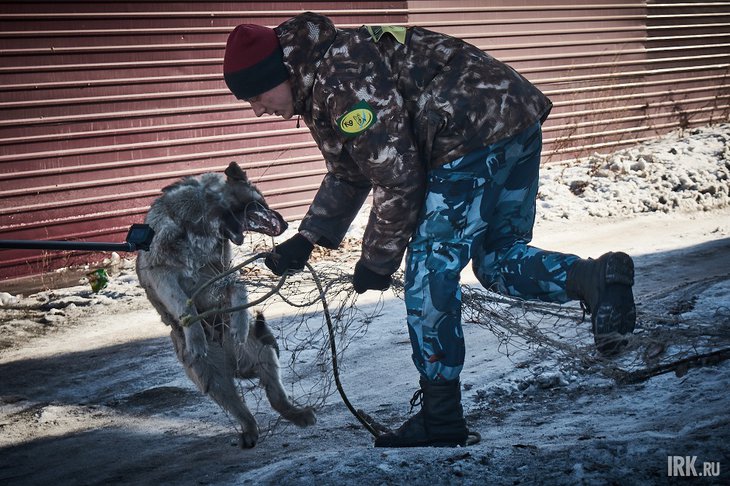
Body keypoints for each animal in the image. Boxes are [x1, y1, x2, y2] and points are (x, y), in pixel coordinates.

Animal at [136, 162, 316, 448]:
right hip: (214, 381)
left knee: (275, 397)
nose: (288, 222)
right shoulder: (164, 276)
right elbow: (185, 305)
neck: (197, 225)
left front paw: (239, 325)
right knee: (241, 409)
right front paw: (196, 336)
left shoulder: (223, 274)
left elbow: (239, 290)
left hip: (263, 354)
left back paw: (296, 414)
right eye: (261, 203)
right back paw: (250, 430)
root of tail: (234, 362)